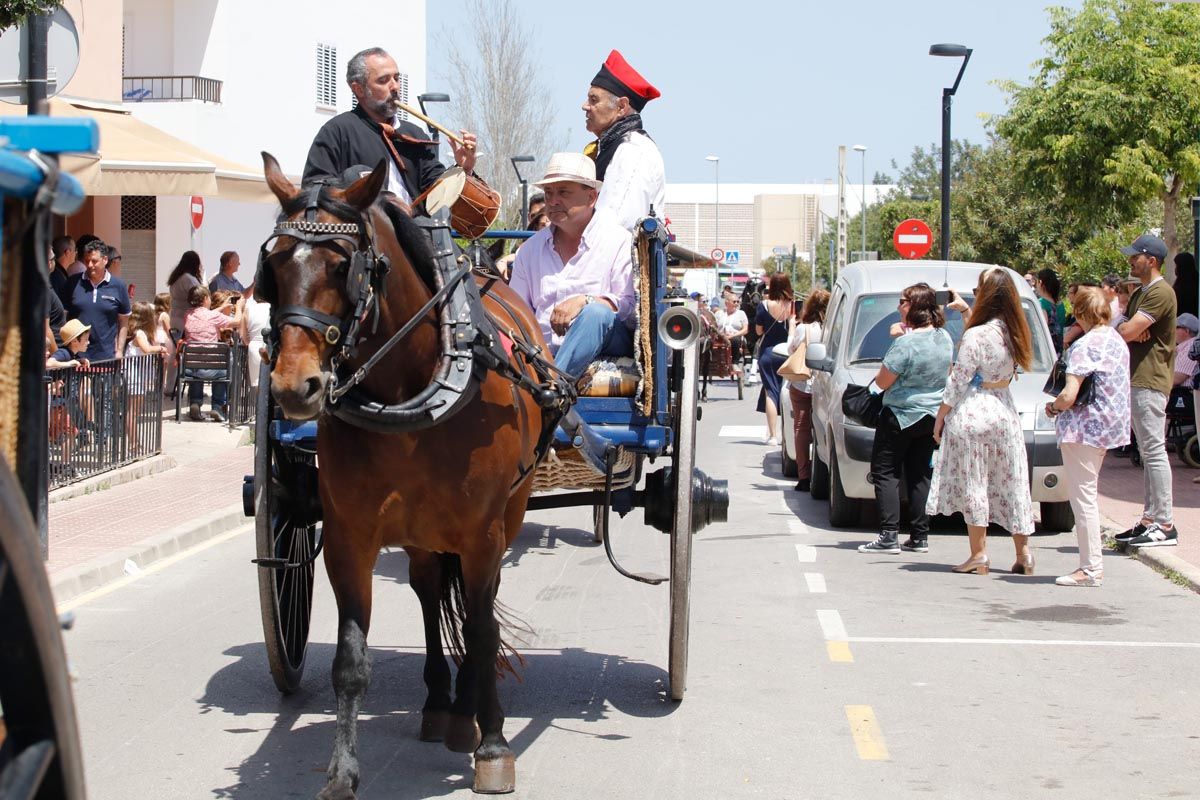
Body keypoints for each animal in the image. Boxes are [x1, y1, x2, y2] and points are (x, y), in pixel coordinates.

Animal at [260, 153, 549, 796]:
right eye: (273, 265)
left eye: (342, 265)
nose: (294, 386)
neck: (412, 392)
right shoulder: (349, 539)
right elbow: (350, 660)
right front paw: (342, 772)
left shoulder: (483, 535)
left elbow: (483, 629)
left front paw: (494, 743)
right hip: (421, 535)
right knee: (428, 592)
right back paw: (442, 704)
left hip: (503, 517)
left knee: (477, 605)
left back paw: (467, 714)